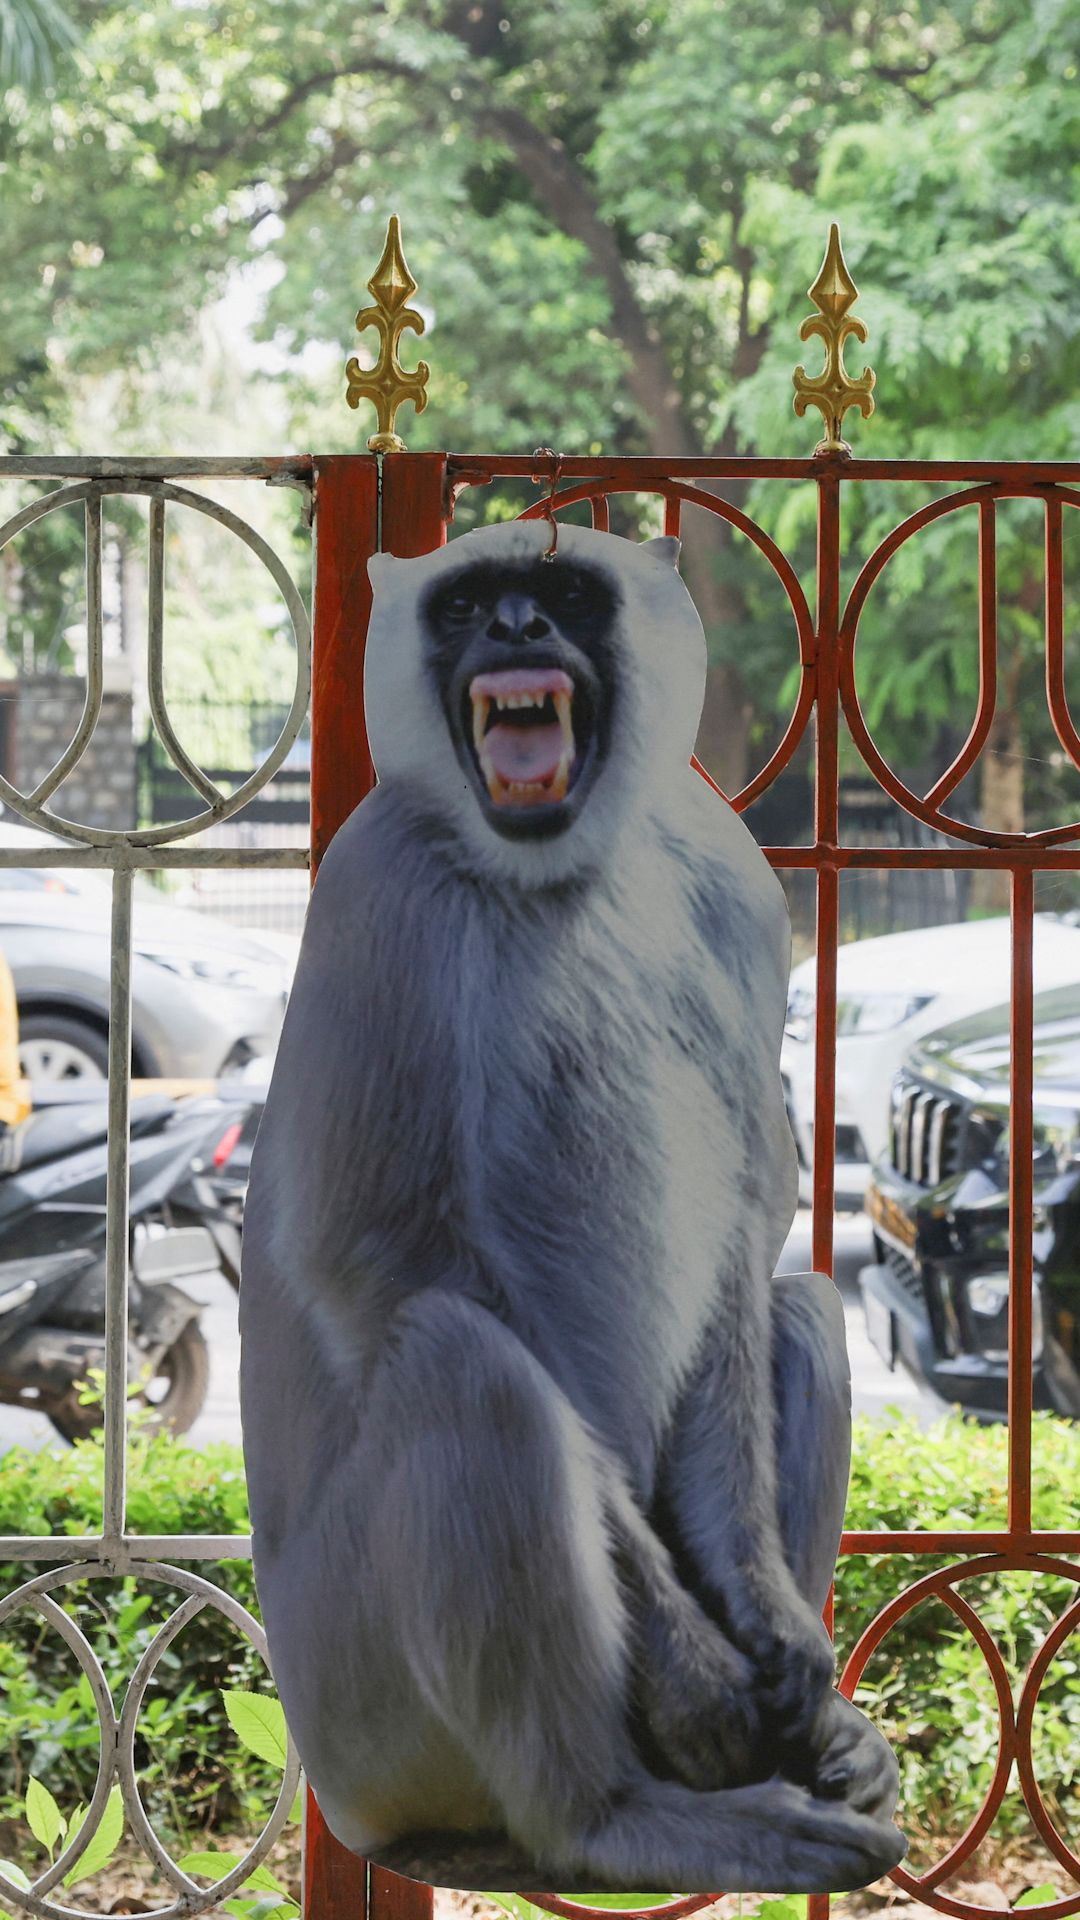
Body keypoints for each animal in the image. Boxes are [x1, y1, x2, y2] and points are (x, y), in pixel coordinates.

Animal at [238, 519, 904, 1894]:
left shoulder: (733, 884)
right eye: (472, 604)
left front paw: (770, 1625)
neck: (554, 867)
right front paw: (701, 1674)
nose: (516, 632)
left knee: (803, 1310)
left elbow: (744, 1232)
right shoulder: (377, 884)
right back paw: (614, 1815)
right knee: (462, 1361)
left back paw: (814, 1742)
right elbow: (372, 1261)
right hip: (359, 1705)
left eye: (558, 593)